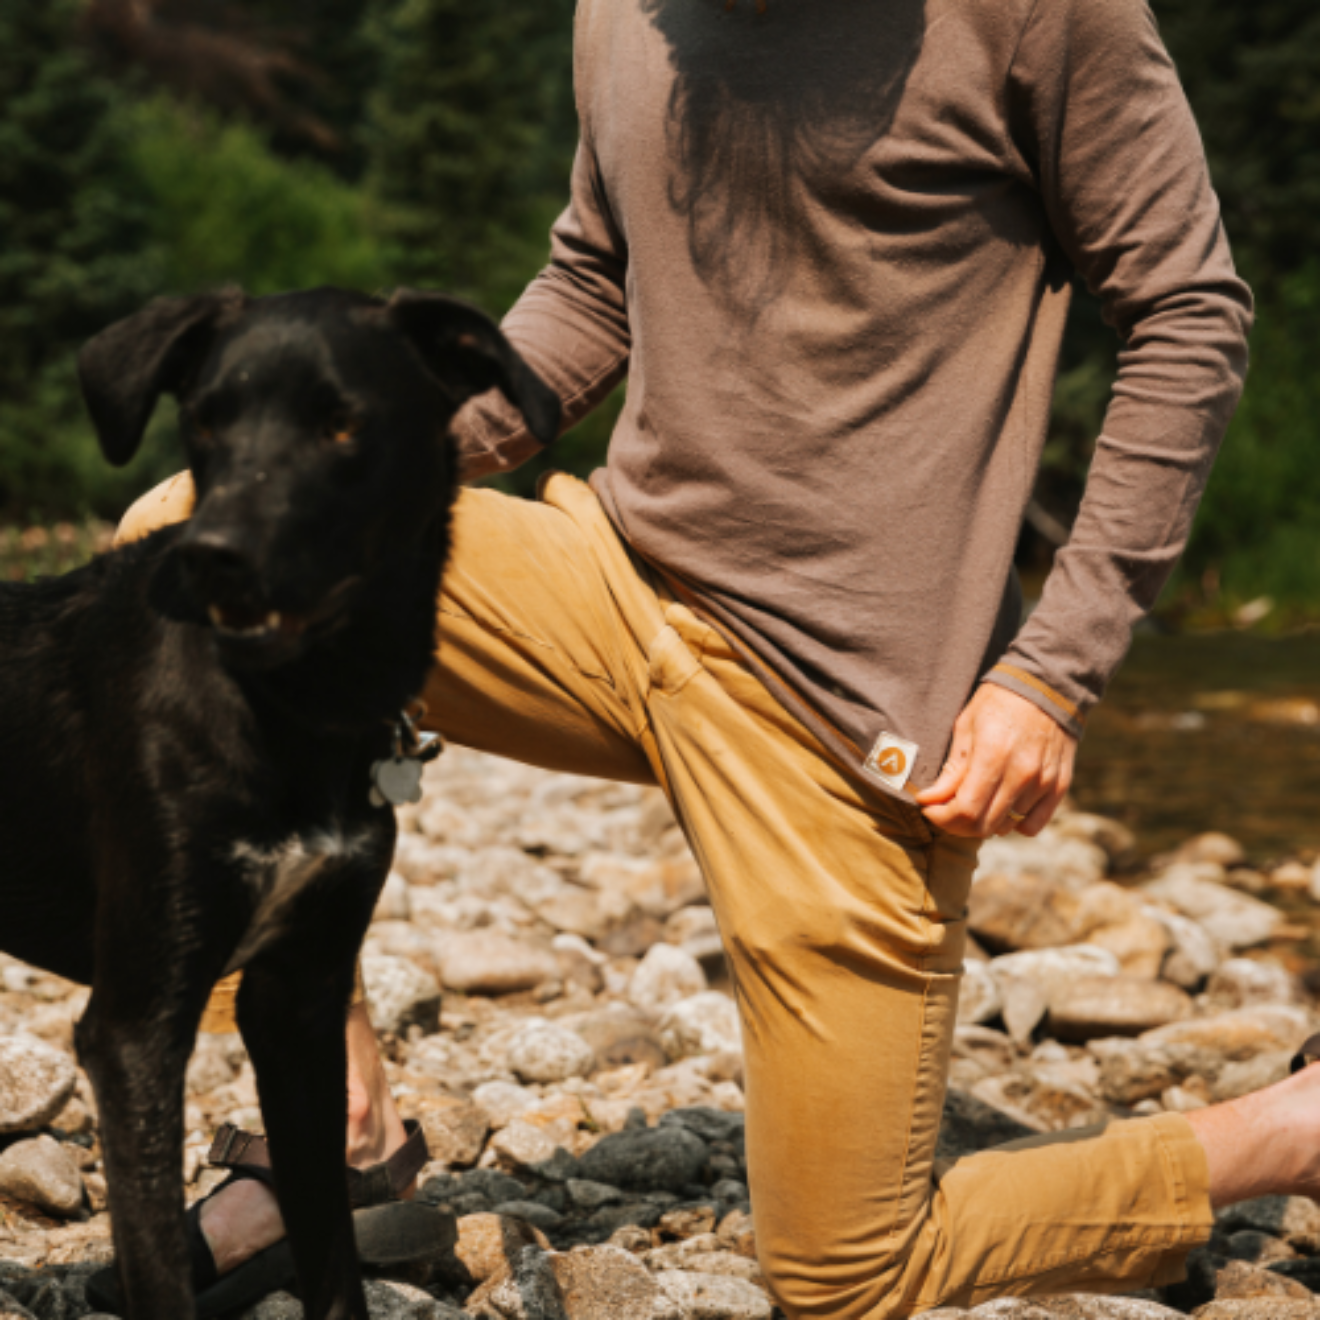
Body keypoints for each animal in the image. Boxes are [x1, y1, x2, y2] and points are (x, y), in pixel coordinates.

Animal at [0, 289, 559, 1320]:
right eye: (205, 421)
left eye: (344, 424)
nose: (214, 557)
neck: (297, 706)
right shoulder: (135, 1025)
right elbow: (159, 1269)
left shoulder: (298, 999)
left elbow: (331, 1249)